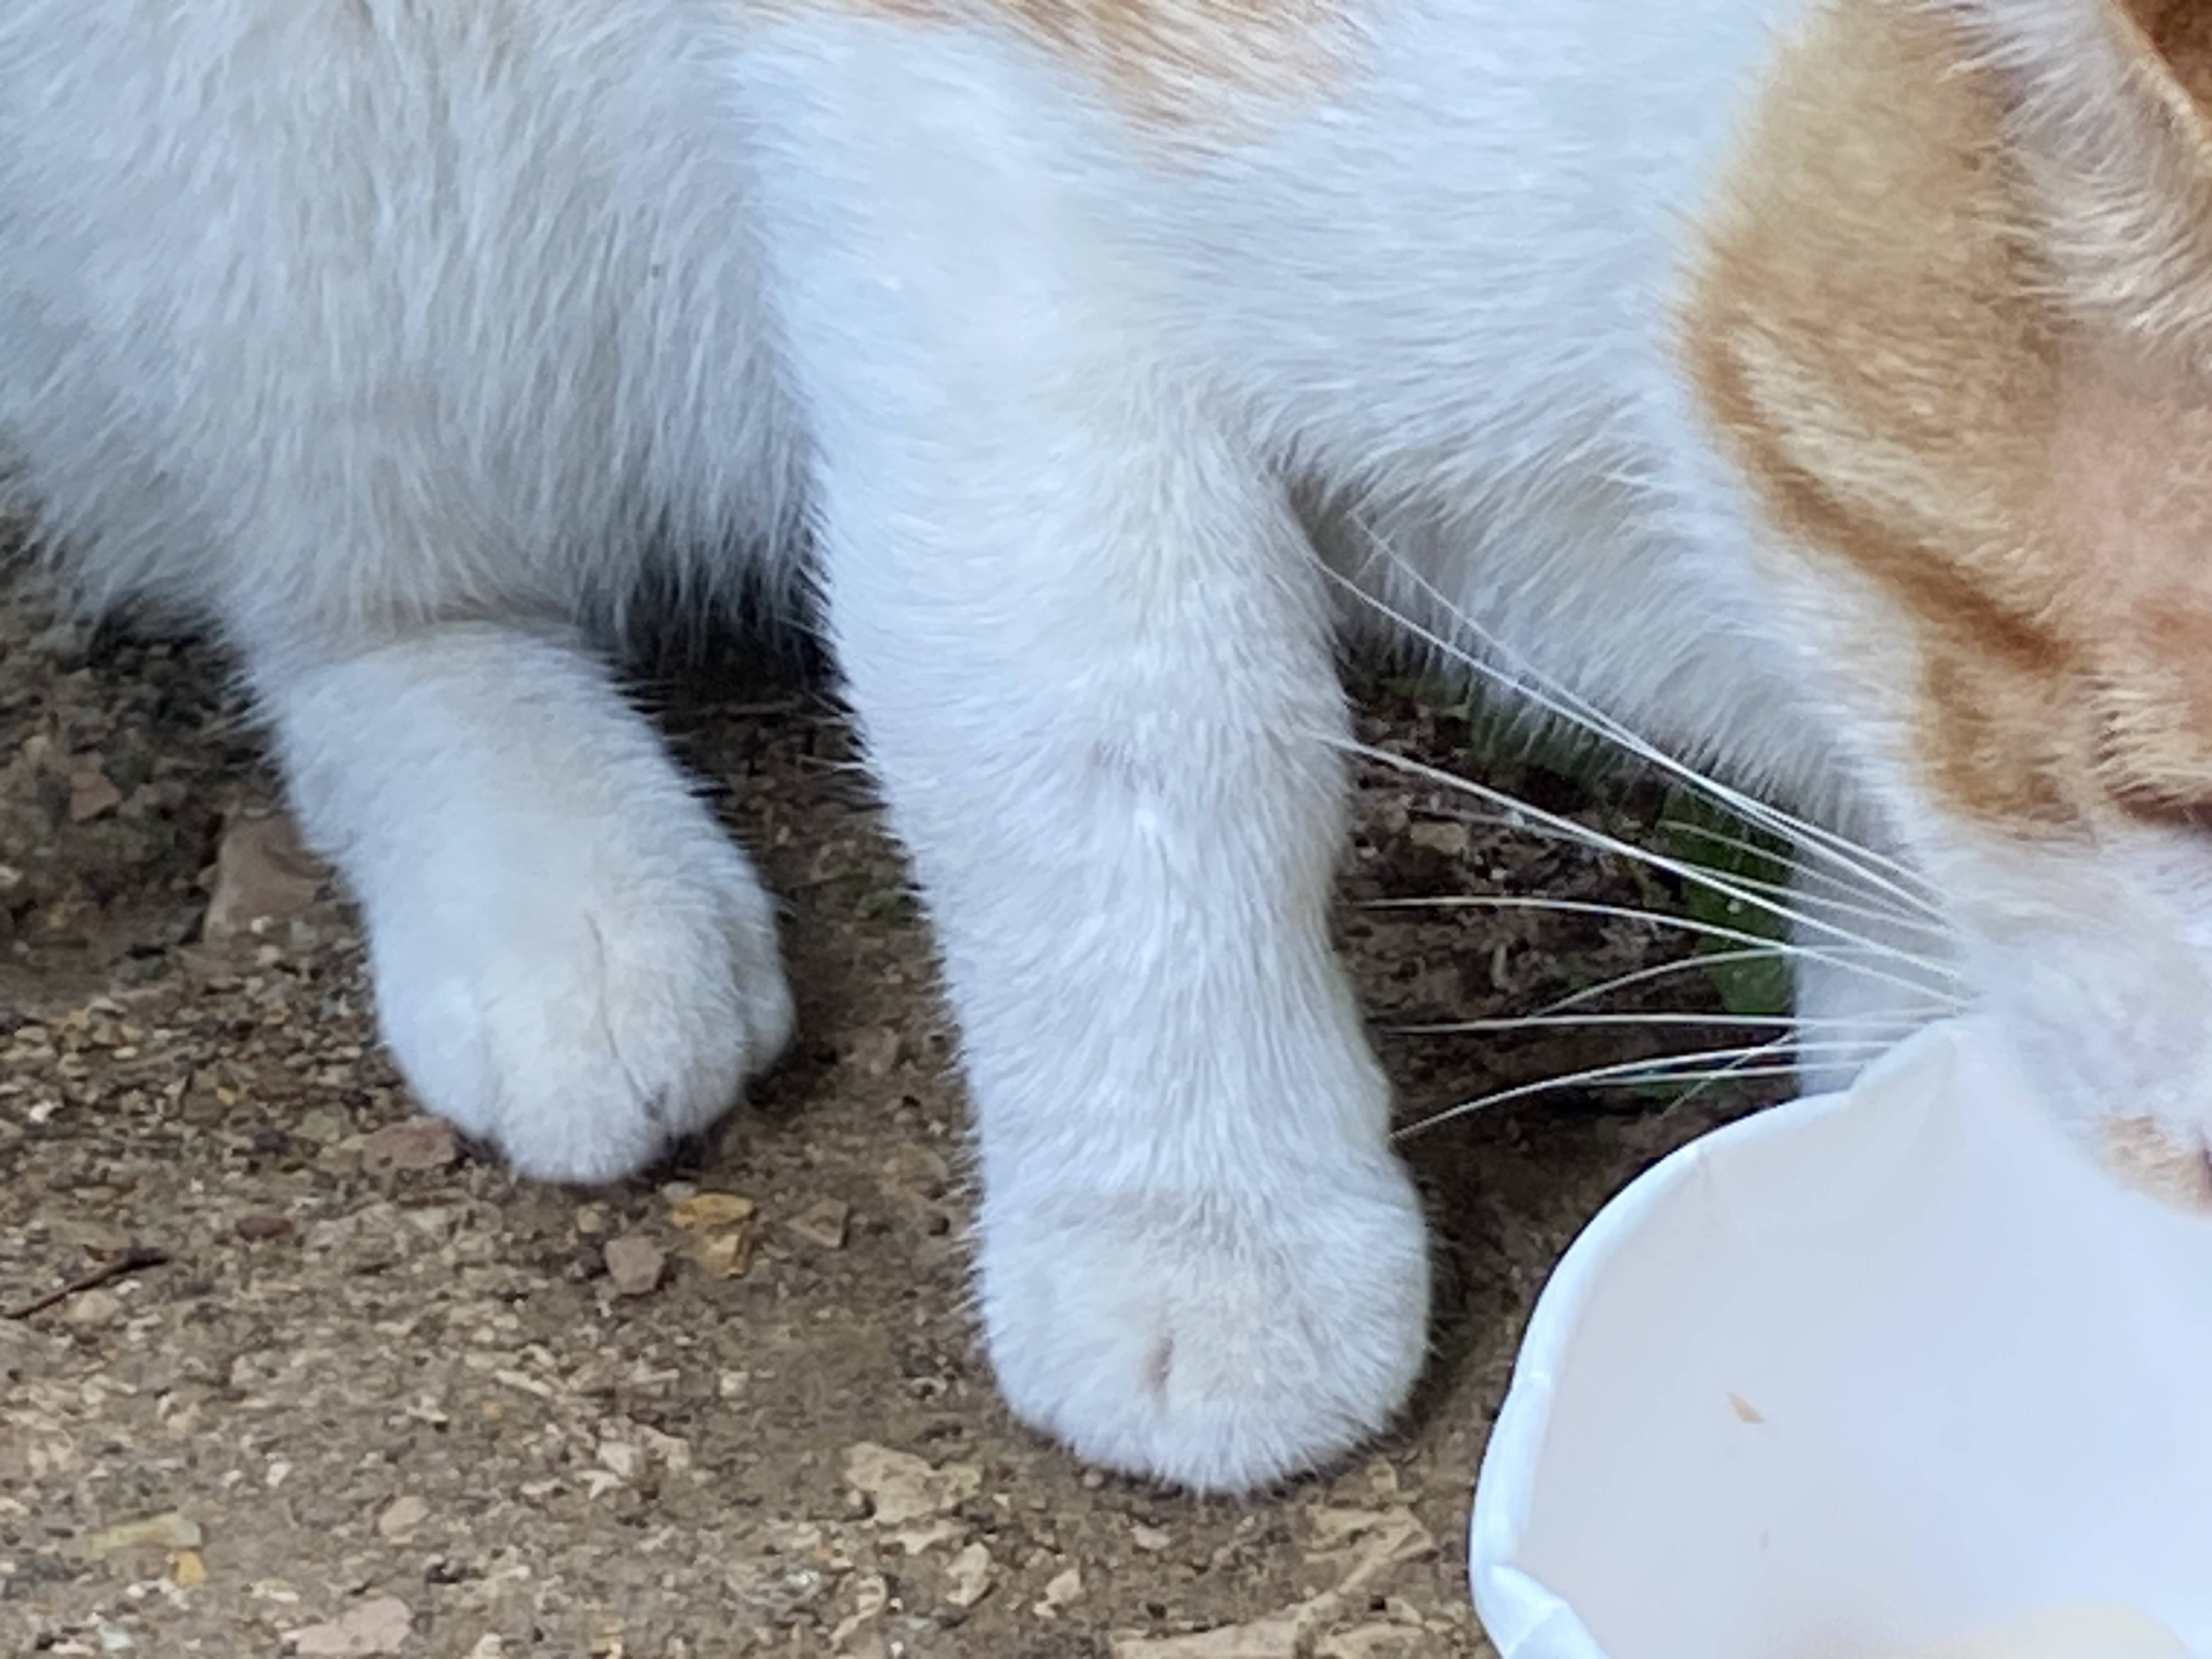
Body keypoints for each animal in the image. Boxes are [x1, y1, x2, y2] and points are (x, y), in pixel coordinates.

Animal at [8, 0, 2203, 1495]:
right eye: (2177, 789)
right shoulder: (942, 138)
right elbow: (1120, 706)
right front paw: (1196, 1217)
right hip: (297, 147)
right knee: (339, 574)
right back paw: (546, 867)